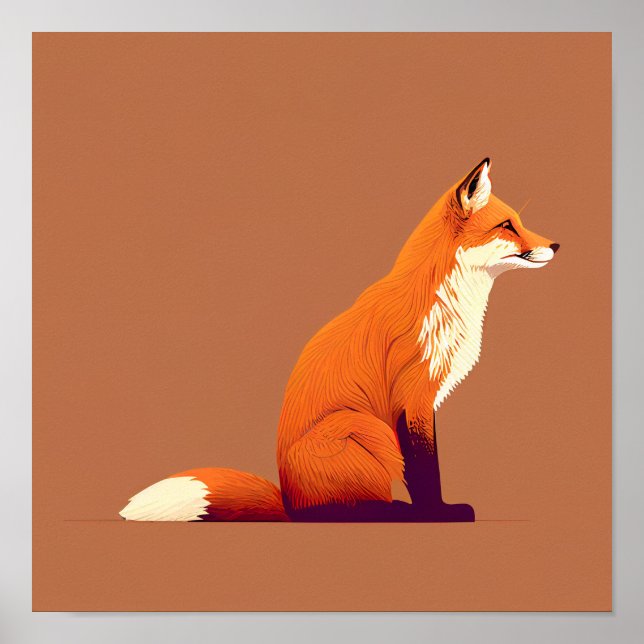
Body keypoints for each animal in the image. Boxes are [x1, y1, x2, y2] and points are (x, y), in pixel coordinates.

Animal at [119, 158, 558, 522]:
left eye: (518, 222)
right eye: (507, 225)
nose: (555, 245)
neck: (442, 300)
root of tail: (290, 502)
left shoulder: (421, 400)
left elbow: (424, 468)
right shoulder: (411, 397)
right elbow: (424, 470)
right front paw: (438, 513)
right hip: (361, 426)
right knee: (336, 511)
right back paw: (391, 511)